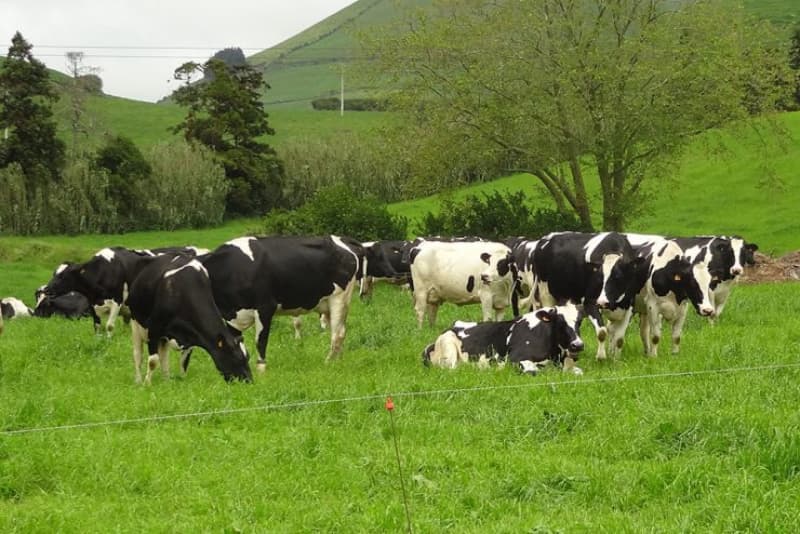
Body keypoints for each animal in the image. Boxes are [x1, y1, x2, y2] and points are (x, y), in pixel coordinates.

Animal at [125, 255, 252, 386]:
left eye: (247, 357)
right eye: (236, 358)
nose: (249, 381)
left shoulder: (191, 334)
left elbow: (184, 361)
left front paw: (181, 379)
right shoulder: (154, 328)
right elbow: (153, 361)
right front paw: (147, 384)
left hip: (162, 337)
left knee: (164, 355)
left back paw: (166, 379)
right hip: (135, 322)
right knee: (138, 354)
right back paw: (138, 380)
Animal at [200, 234, 362, 372]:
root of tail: (341, 240)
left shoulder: (265, 307)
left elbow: (261, 341)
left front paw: (261, 371)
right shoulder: (232, 317)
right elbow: (237, 343)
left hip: (339, 299)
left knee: (337, 333)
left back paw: (328, 362)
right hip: (328, 305)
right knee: (340, 332)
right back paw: (338, 361)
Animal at [422, 306, 584, 376]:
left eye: (579, 322)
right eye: (560, 322)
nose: (577, 345)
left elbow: (578, 372)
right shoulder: (514, 359)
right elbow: (533, 371)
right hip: (449, 350)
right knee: (452, 369)